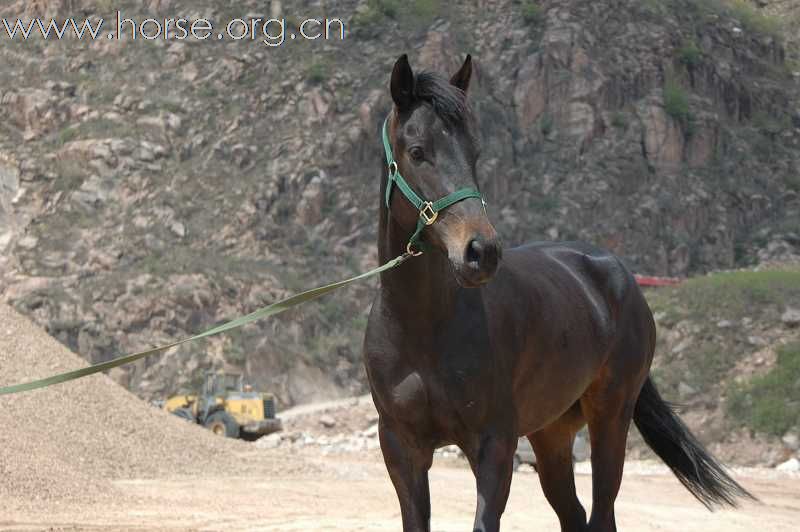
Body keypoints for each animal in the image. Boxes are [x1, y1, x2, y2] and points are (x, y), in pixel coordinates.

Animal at [366, 55, 752, 532]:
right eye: (417, 151)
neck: (422, 329)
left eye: (476, 153)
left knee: (601, 513)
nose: (481, 252)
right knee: (575, 514)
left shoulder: (494, 445)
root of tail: (619, 276)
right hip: (551, 434)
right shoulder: (402, 451)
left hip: (610, 419)